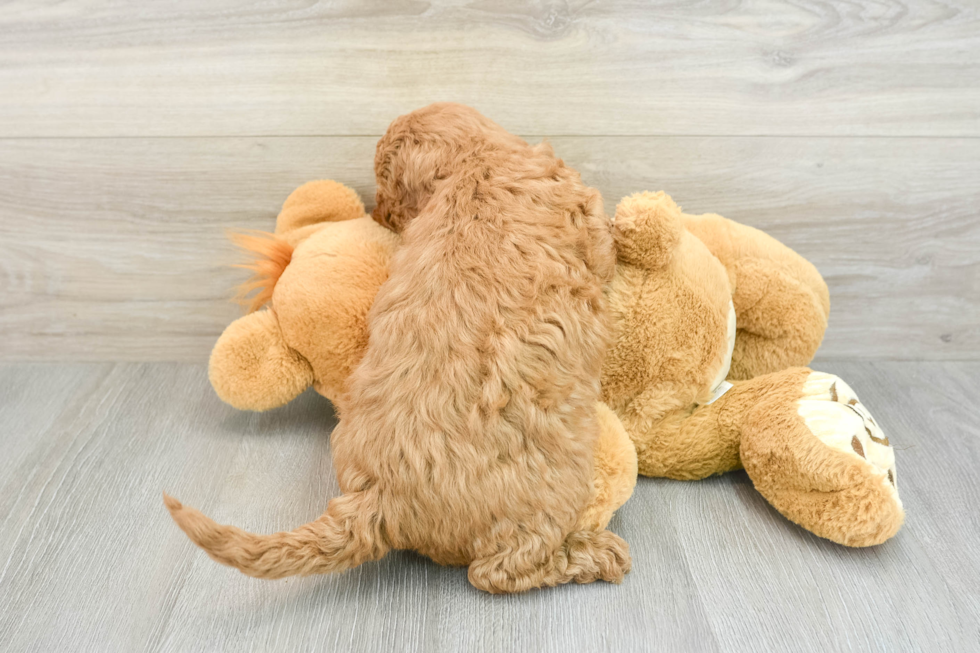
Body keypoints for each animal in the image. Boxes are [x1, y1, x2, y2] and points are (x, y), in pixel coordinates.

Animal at [167, 102, 628, 592]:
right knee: (498, 571)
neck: (477, 161)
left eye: (385, 183)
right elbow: (606, 248)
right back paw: (592, 554)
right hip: (553, 492)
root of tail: (379, 499)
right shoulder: (587, 223)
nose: (378, 214)